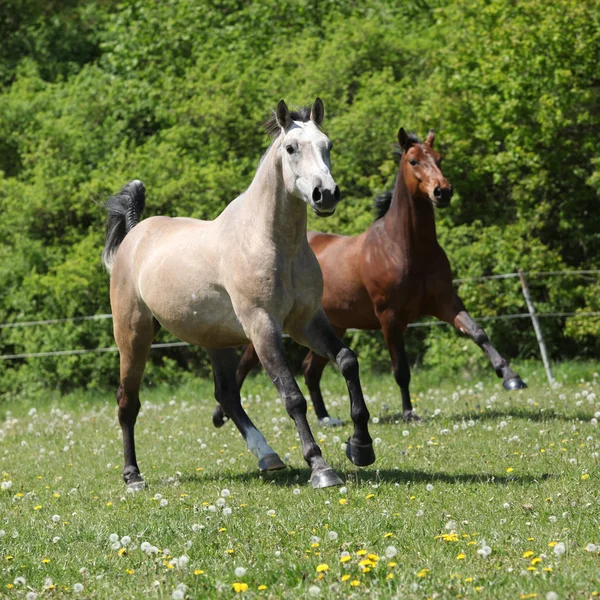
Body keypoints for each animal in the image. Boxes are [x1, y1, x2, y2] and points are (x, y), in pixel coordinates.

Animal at [103, 98, 376, 490]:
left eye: (328, 145)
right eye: (291, 148)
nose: (325, 194)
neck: (270, 242)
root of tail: (134, 234)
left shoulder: (306, 322)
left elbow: (348, 361)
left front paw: (361, 447)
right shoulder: (263, 328)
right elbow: (293, 397)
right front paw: (320, 467)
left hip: (217, 342)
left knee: (227, 396)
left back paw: (268, 456)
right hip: (133, 336)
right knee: (128, 401)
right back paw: (133, 476)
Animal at [218, 127, 528, 426]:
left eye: (439, 158)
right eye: (414, 161)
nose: (443, 192)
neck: (407, 248)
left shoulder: (446, 304)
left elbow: (478, 332)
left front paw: (511, 377)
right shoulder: (390, 318)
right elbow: (401, 370)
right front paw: (408, 413)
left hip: (330, 326)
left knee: (310, 370)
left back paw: (325, 418)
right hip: (269, 326)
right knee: (248, 363)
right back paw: (222, 414)